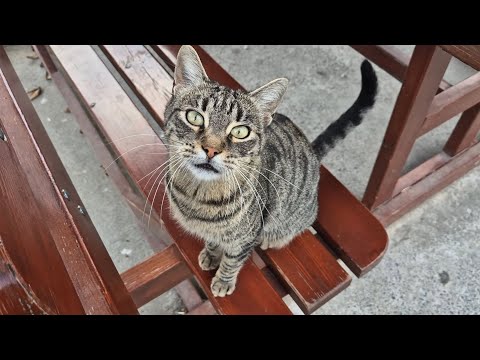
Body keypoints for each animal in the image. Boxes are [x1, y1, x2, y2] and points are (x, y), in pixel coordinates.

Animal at [165, 45, 378, 296]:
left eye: (240, 132)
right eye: (194, 117)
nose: (211, 149)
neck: (198, 195)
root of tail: (312, 151)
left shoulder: (245, 238)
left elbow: (232, 261)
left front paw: (223, 281)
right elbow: (213, 240)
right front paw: (210, 254)